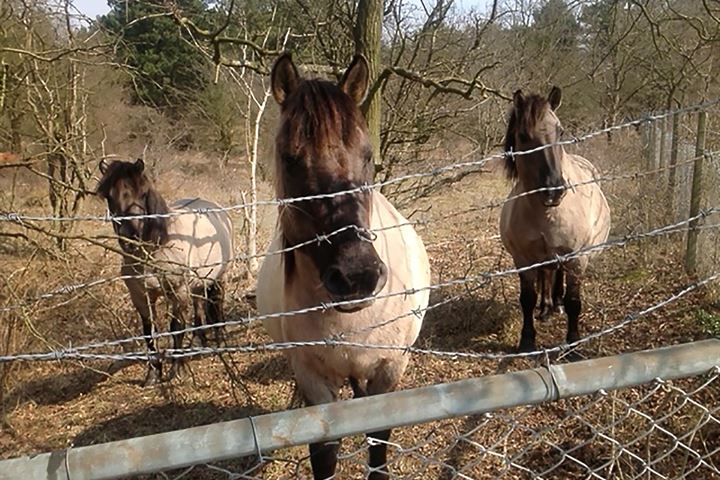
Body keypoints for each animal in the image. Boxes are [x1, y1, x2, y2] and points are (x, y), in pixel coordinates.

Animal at [256, 54, 430, 478]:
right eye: (290, 159)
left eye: (367, 156)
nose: (357, 276)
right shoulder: (313, 380)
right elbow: (325, 452)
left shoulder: (390, 368)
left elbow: (377, 441)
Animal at [498, 87, 612, 352]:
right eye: (523, 136)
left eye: (560, 131)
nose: (554, 190)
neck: (546, 213)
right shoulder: (524, 260)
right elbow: (527, 299)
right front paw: (527, 339)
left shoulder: (576, 259)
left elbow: (574, 302)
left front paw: (573, 343)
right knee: (547, 275)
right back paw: (546, 307)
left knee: (557, 276)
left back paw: (555, 304)